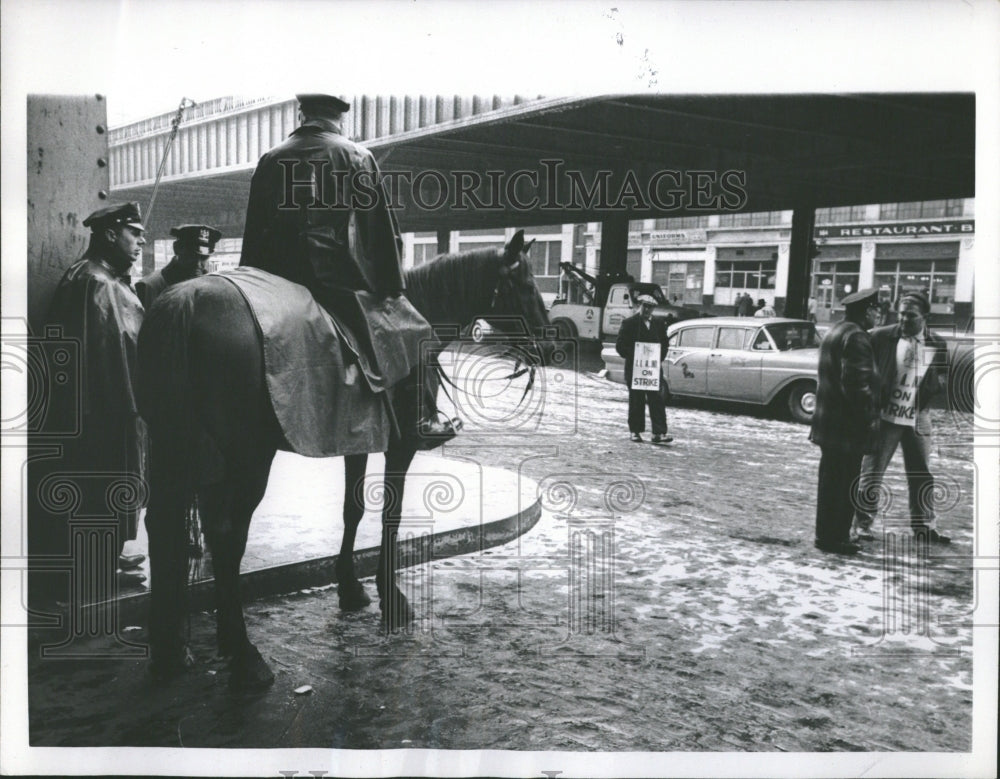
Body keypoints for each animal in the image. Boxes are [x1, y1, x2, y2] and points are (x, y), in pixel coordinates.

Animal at [137, 230, 552, 688]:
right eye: (527, 284)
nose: (552, 345)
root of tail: (185, 303)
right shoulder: (401, 445)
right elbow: (391, 514)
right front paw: (392, 598)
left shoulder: (358, 435)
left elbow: (352, 510)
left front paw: (350, 587)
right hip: (246, 456)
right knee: (227, 535)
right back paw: (244, 654)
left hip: (174, 443)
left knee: (164, 524)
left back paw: (171, 648)